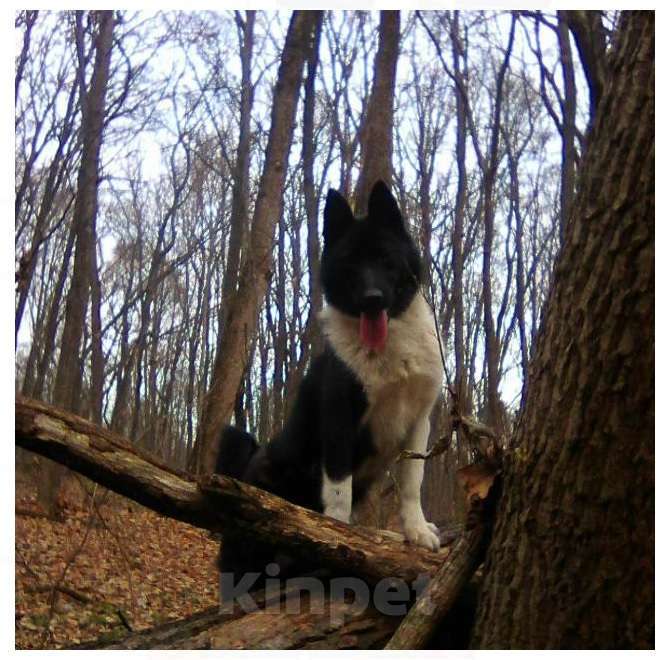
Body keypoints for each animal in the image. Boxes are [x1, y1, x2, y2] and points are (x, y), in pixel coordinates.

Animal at [217, 180, 440, 600]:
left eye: (385, 259)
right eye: (351, 264)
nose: (372, 300)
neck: (388, 347)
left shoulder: (419, 422)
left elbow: (412, 484)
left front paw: (417, 531)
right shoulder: (339, 422)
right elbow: (337, 495)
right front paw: (337, 541)